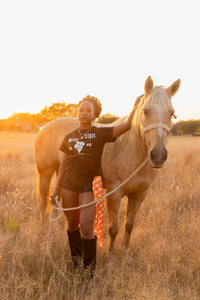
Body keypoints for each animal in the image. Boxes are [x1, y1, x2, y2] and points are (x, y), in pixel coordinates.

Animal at [35, 77, 180, 251]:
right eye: (145, 111)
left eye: (171, 113)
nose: (158, 155)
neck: (130, 149)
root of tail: (43, 127)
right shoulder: (114, 193)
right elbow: (113, 229)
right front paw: (110, 254)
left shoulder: (139, 195)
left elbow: (129, 225)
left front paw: (124, 250)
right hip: (45, 173)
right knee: (43, 202)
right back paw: (43, 231)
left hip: (61, 174)